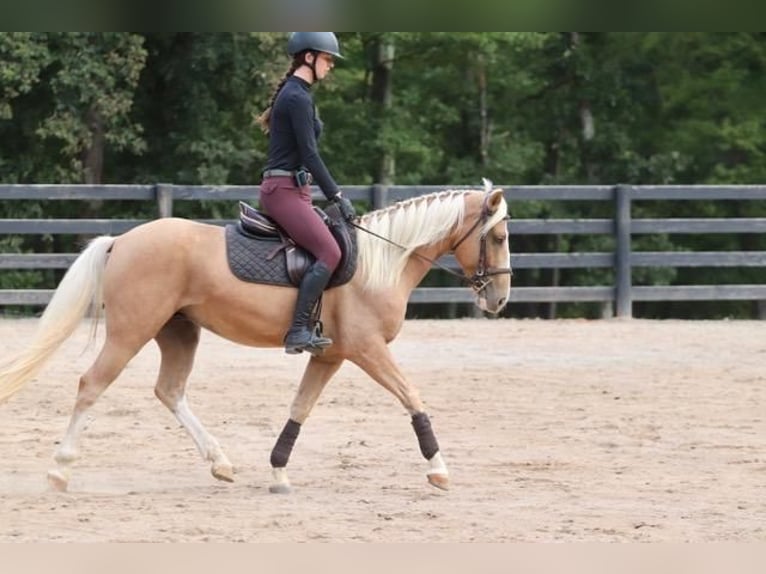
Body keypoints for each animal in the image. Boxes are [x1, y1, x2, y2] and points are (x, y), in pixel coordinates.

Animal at [1, 179, 516, 496]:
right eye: (498, 238)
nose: (499, 300)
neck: (379, 265)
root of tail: (122, 241)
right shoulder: (368, 350)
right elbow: (412, 397)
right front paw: (439, 470)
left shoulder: (330, 357)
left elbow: (300, 408)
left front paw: (279, 470)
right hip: (132, 332)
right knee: (92, 385)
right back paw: (59, 470)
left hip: (178, 331)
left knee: (170, 390)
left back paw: (220, 462)